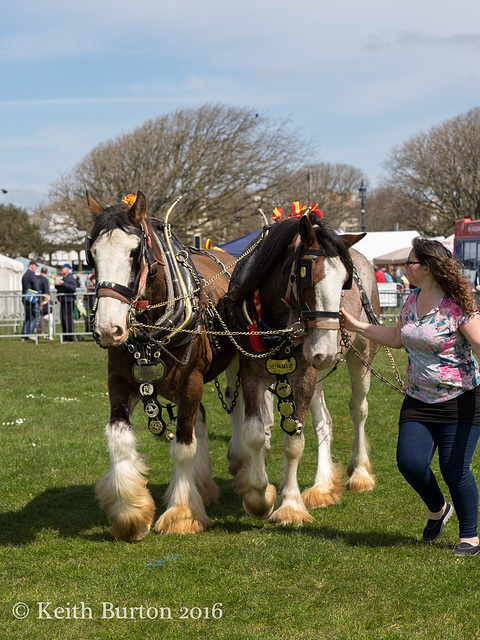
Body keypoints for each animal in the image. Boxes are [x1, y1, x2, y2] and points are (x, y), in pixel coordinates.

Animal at [87, 191, 237, 540]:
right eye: (92, 254)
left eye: (135, 253)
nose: (108, 328)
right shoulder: (119, 382)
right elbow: (118, 437)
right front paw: (130, 514)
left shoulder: (192, 381)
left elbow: (183, 445)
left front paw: (181, 514)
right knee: (202, 419)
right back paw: (204, 486)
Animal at [219, 210, 380, 524]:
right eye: (306, 276)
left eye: (346, 282)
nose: (325, 352)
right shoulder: (253, 373)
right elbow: (255, 433)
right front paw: (259, 496)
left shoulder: (304, 375)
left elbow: (294, 442)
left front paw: (291, 505)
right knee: (324, 421)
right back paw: (321, 486)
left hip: (361, 354)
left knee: (358, 408)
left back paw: (360, 472)